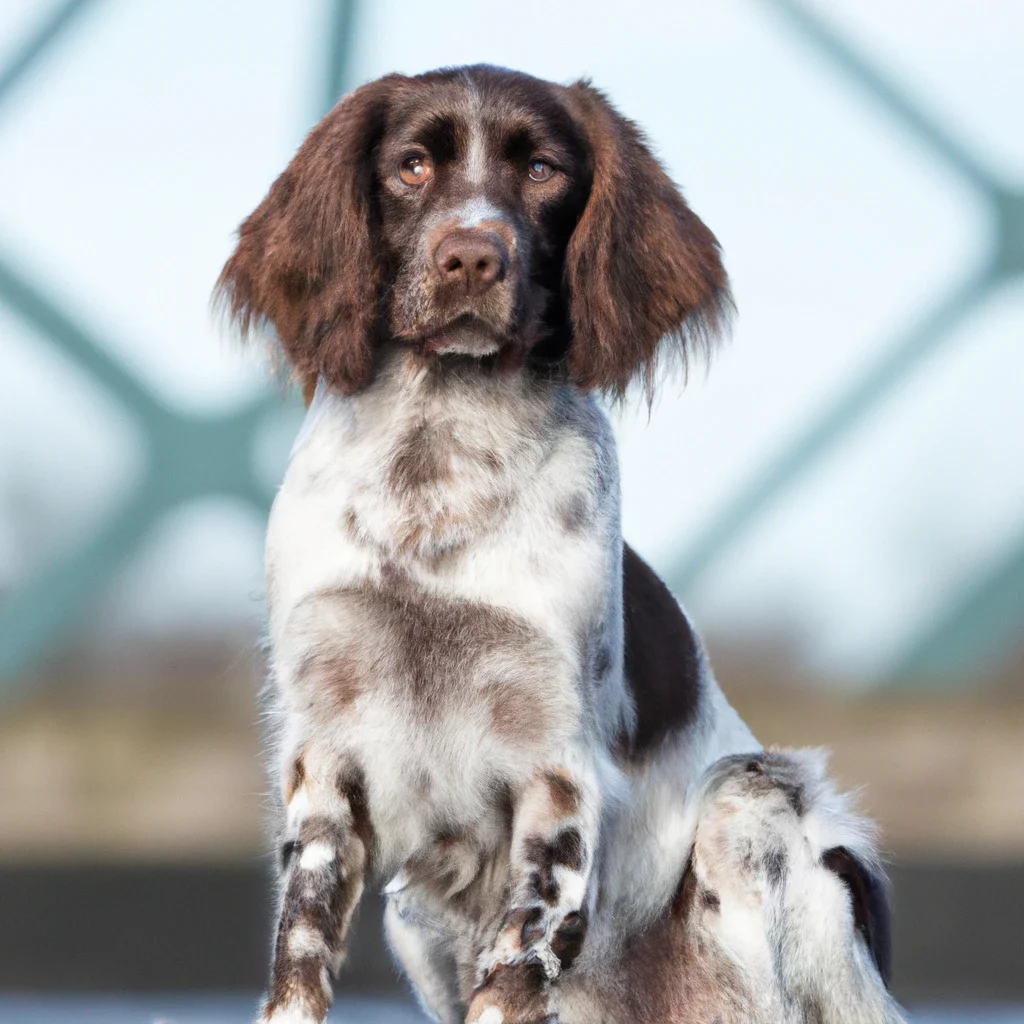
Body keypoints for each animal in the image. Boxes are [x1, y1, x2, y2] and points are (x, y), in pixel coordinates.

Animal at [216, 66, 905, 1024]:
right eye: (412, 167)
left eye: (543, 170)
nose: (471, 256)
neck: (436, 475)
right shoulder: (326, 756)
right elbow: (300, 959)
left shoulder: (558, 776)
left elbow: (515, 968)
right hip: (409, 915)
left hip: (756, 796)